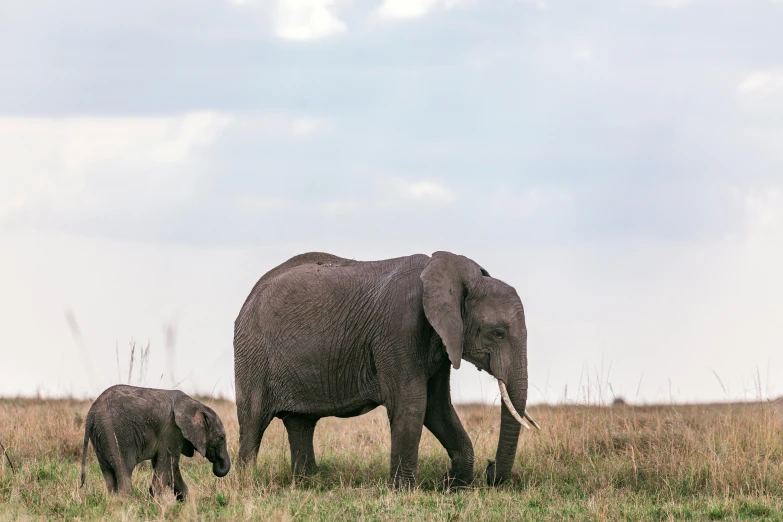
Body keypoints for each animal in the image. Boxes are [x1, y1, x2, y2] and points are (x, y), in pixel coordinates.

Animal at [81, 382, 231, 500]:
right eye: (221, 438)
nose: (216, 463)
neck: (195, 404)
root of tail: (92, 411)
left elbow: (171, 468)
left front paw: (186, 502)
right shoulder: (172, 431)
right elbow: (167, 464)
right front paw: (158, 502)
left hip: (100, 437)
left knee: (108, 474)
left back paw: (114, 503)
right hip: (116, 434)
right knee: (123, 470)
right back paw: (127, 502)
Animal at [234, 250, 540, 486]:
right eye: (498, 333)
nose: (490, 470)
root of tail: (250, 294)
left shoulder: (442, 340)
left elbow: (437, 406)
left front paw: (454, 485)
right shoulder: (399, 329)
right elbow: (413, 403)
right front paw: (404, 490)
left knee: (301, 423)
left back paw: (308, 482)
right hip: (252, 352)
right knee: (253, 419)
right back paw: (247, 482)